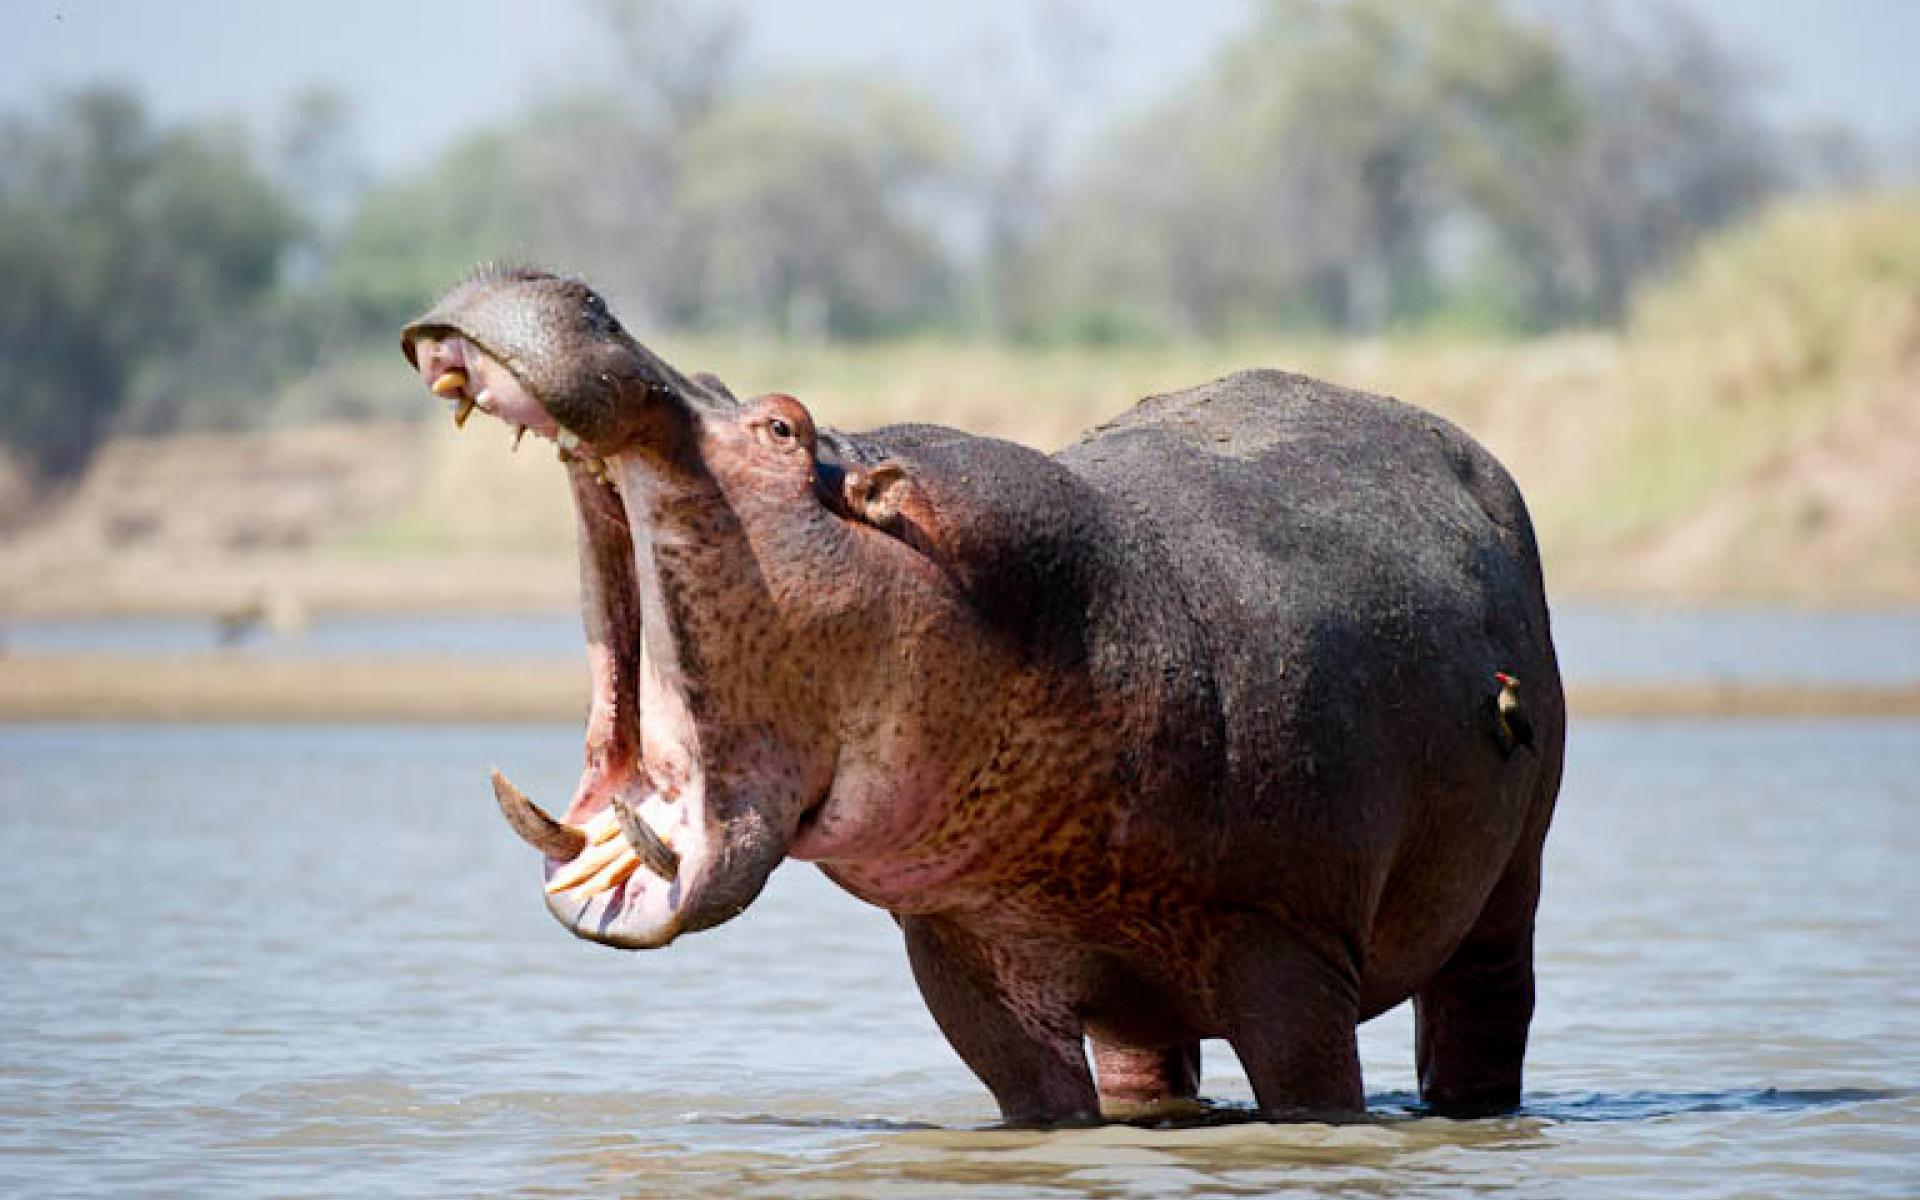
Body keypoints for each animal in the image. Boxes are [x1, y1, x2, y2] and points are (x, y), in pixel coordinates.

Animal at [401, 264, 1559, 1121]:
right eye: (722, 374)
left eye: (781, 426)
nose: (557, 282)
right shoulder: (965, 958)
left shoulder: (1292, 955)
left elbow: (1315, 1102)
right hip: (1142, 1010)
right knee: (1150, 1068)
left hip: (1507, 896)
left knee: (1485, 1013)